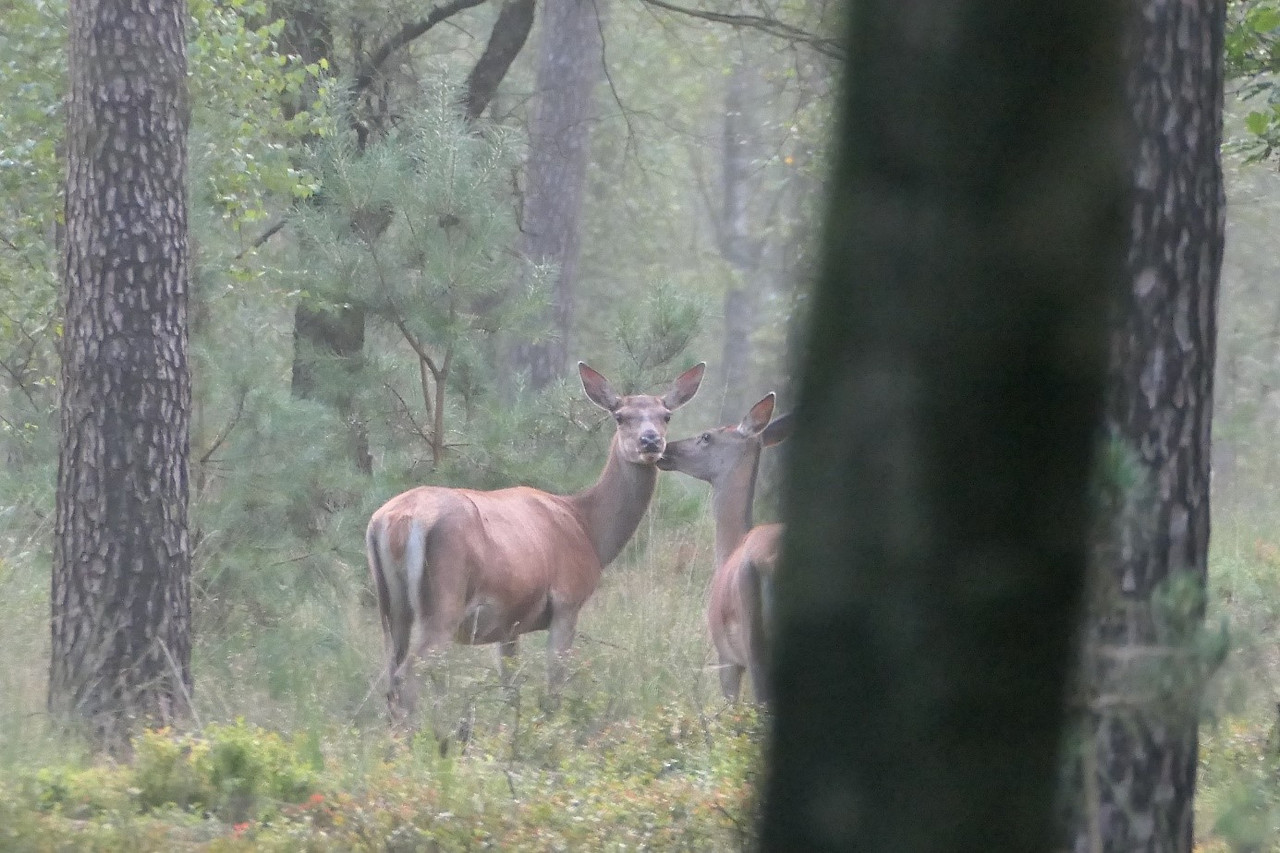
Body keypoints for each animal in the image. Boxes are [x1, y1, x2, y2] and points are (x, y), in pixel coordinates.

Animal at [366, 361, 705, 727]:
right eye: (620, 416)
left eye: (666, 415)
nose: (650, 440)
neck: (588, 529)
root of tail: (395, 520)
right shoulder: (567, 600)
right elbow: (554, 683)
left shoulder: (509, 624)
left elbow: (511, 687)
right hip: (444, 600)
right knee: (407, 674)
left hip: (392, 608)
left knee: (390, 674)